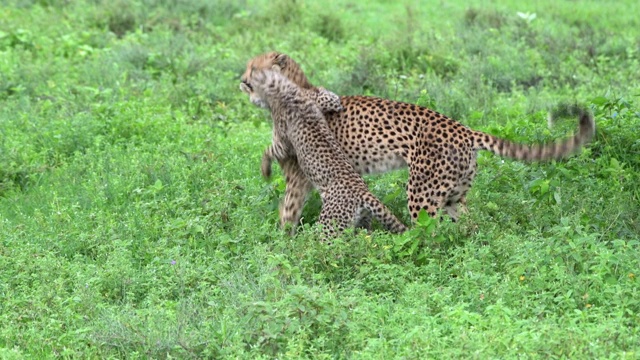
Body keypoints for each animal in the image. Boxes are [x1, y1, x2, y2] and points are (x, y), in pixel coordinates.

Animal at [240, 68, 404, 236]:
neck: (280, 88)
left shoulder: (283, 142)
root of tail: (362, 192)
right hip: (362, 222)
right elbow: (329, 97)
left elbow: (268, 150)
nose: (243, 83)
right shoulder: (324, 100)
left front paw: (265, 170)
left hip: (328, 227)